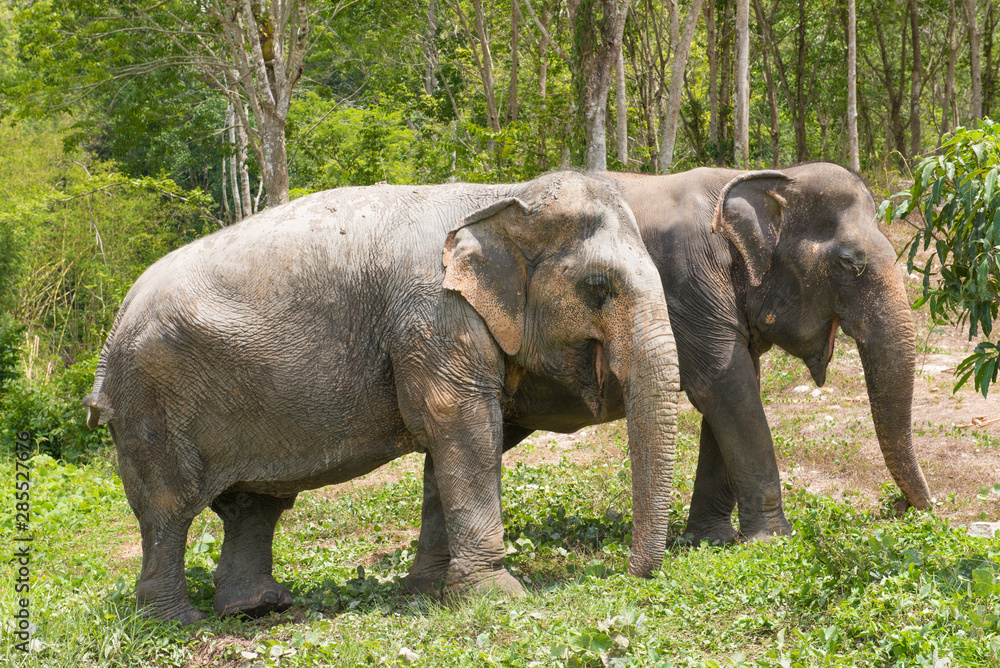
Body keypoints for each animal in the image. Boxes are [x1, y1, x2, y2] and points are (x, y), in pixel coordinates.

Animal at [86, 172, 684, 628]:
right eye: (598, 287)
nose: (628, 574)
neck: (503, 196)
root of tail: (113, 327)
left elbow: (456, 447)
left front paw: (426, 591)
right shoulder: (435, 318)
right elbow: (464, 426)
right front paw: (499, 596)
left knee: (253, 504)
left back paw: (257, 609)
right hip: (153, 400)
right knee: (168, 509)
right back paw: (178, 622)